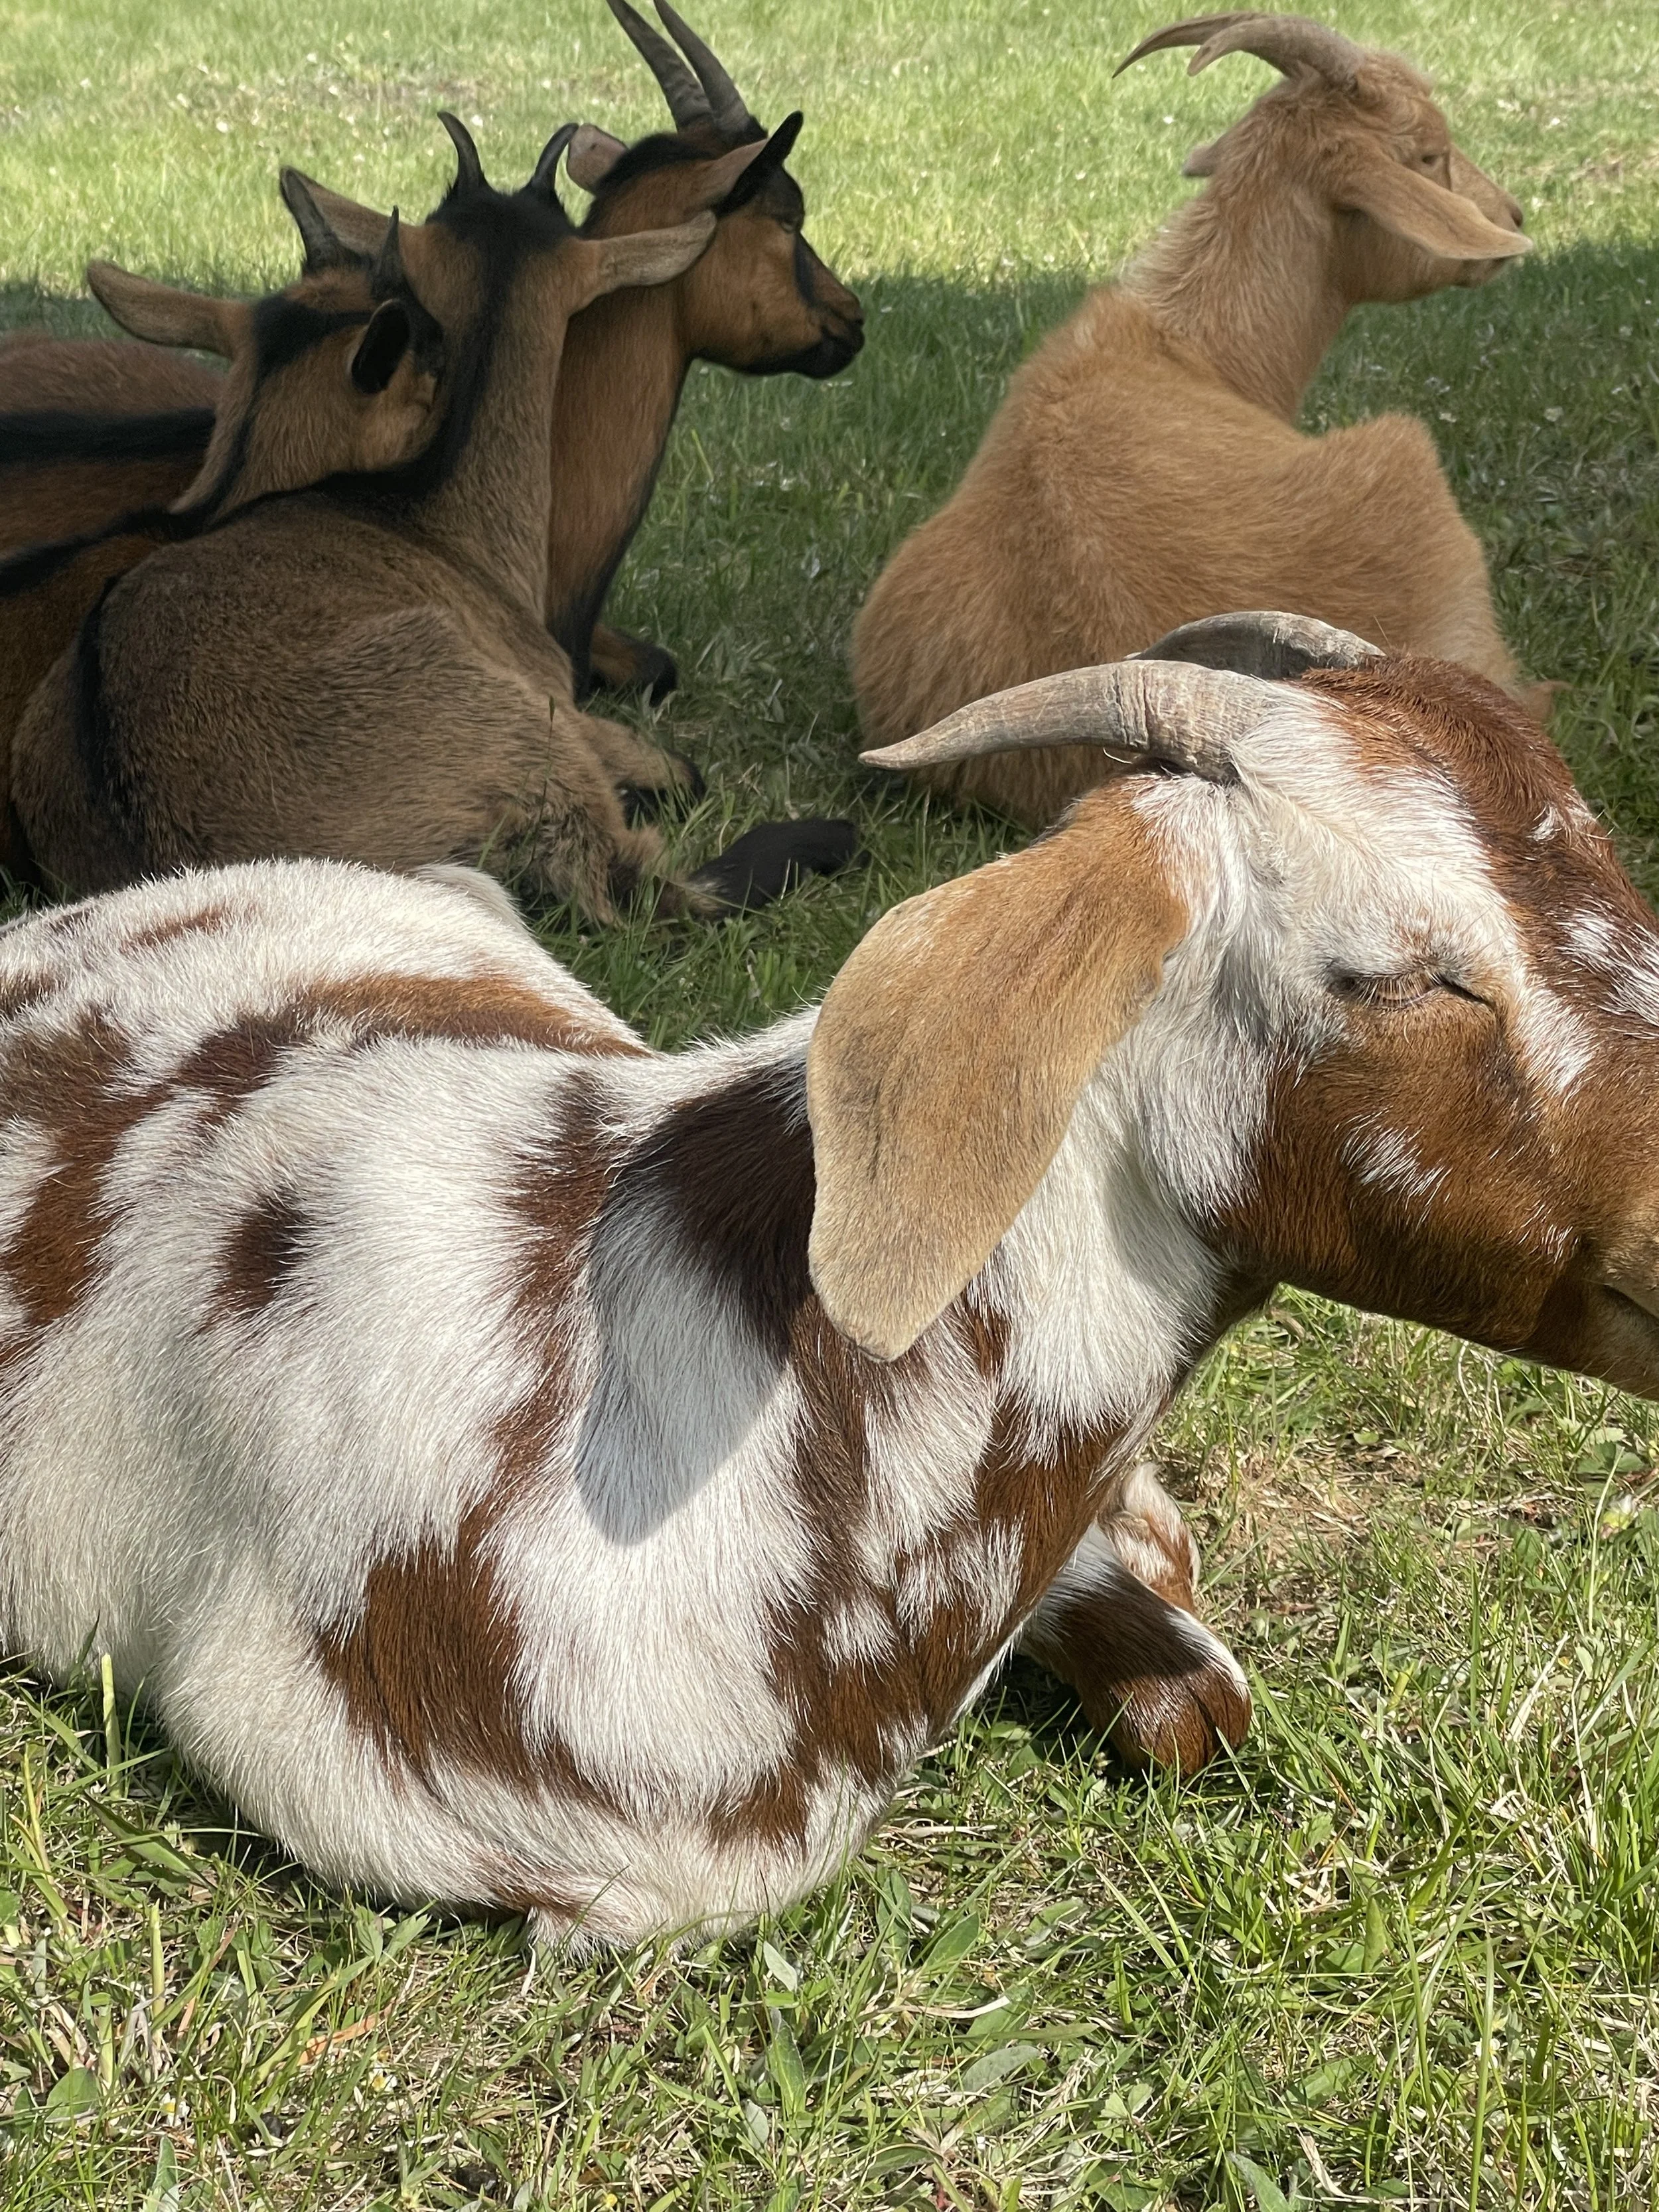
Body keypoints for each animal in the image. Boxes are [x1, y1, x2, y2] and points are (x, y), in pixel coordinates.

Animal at [9, 122, 854, 920]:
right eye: (787, 218)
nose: (852, 322)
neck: (431, 512)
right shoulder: (555, 699)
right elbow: (680, 772)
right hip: (519, 743)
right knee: (643, 888)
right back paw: (827, 836)